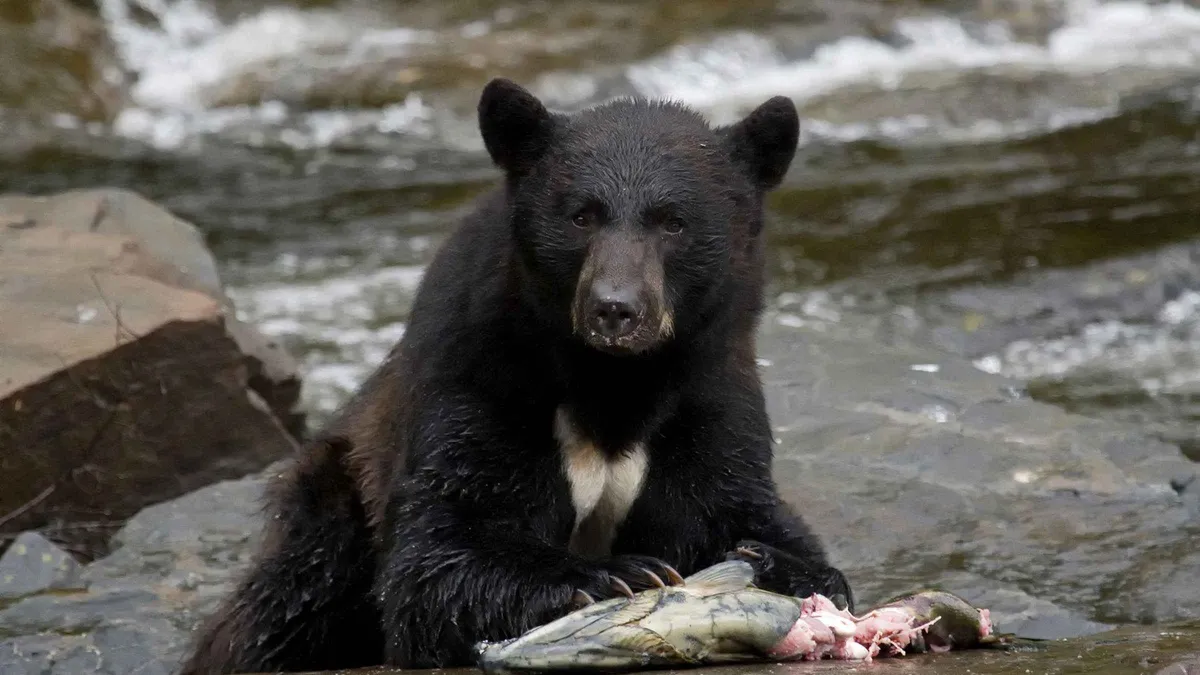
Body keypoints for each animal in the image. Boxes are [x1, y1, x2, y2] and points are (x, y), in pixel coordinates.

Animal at [178, 77, 853, 675]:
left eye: (673, 221)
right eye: (582, 215)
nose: (615, 309)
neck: (613, 384)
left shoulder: (708, 393)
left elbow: (737, 503)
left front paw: (777, 563)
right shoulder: (482, 377)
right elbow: (442, 550)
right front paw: (616, 573)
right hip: (331, 502)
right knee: (287, 603)